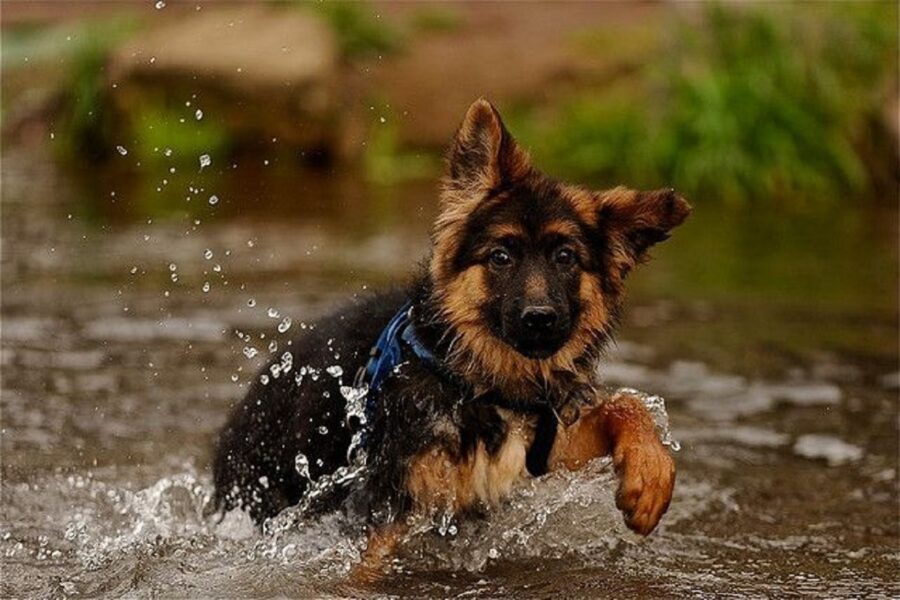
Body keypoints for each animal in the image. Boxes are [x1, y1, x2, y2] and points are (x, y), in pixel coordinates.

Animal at [211, 97, 688, 568]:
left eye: (566, 258)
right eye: (500, 257)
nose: (540, 318)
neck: (480, 381)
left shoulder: (544, 447)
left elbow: (624, 405)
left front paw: (650, 477)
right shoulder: (391, 506)